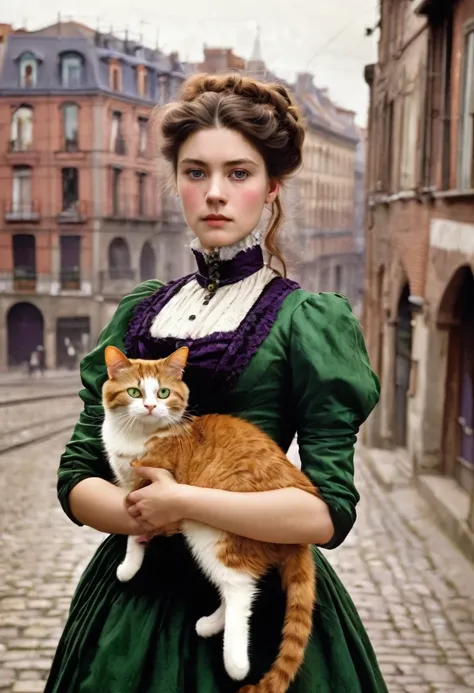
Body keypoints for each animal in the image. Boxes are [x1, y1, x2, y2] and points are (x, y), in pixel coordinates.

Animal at [103, 346, 318, 692]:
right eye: (134, 392)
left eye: (163, 393)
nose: (150, 407)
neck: (138, 437)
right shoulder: (129, 489)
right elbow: (132, 527)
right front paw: (132, 562)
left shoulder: (148, 486)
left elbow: (135, 531)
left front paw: (129, 565)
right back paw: (210, 625)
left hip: (210, 534)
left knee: (240, 589)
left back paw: (236, 662)